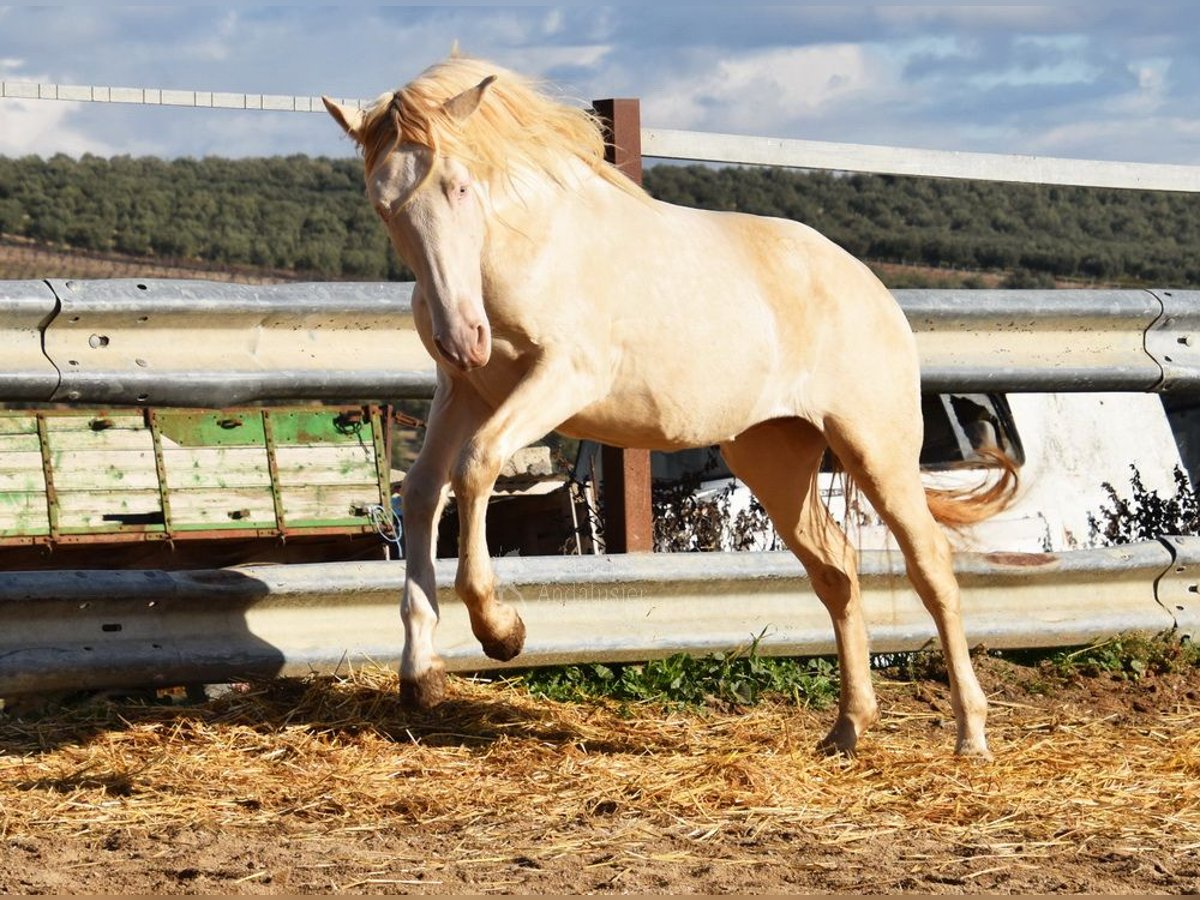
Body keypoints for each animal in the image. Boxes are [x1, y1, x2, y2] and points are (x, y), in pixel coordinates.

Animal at [324, 54, 1017, 763]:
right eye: (384, 205)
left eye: (460, 187)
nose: (463, 339)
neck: (526, 246)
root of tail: (873, 288)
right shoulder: (465, 392)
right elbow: (422, 493)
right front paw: (421, 676)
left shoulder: (563, 378)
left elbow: (475, 467)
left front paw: (502, 632)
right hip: (773, 457)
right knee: (837, 570)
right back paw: (848, 729)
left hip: (876, 450)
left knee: (931, 567)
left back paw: (971, 736)